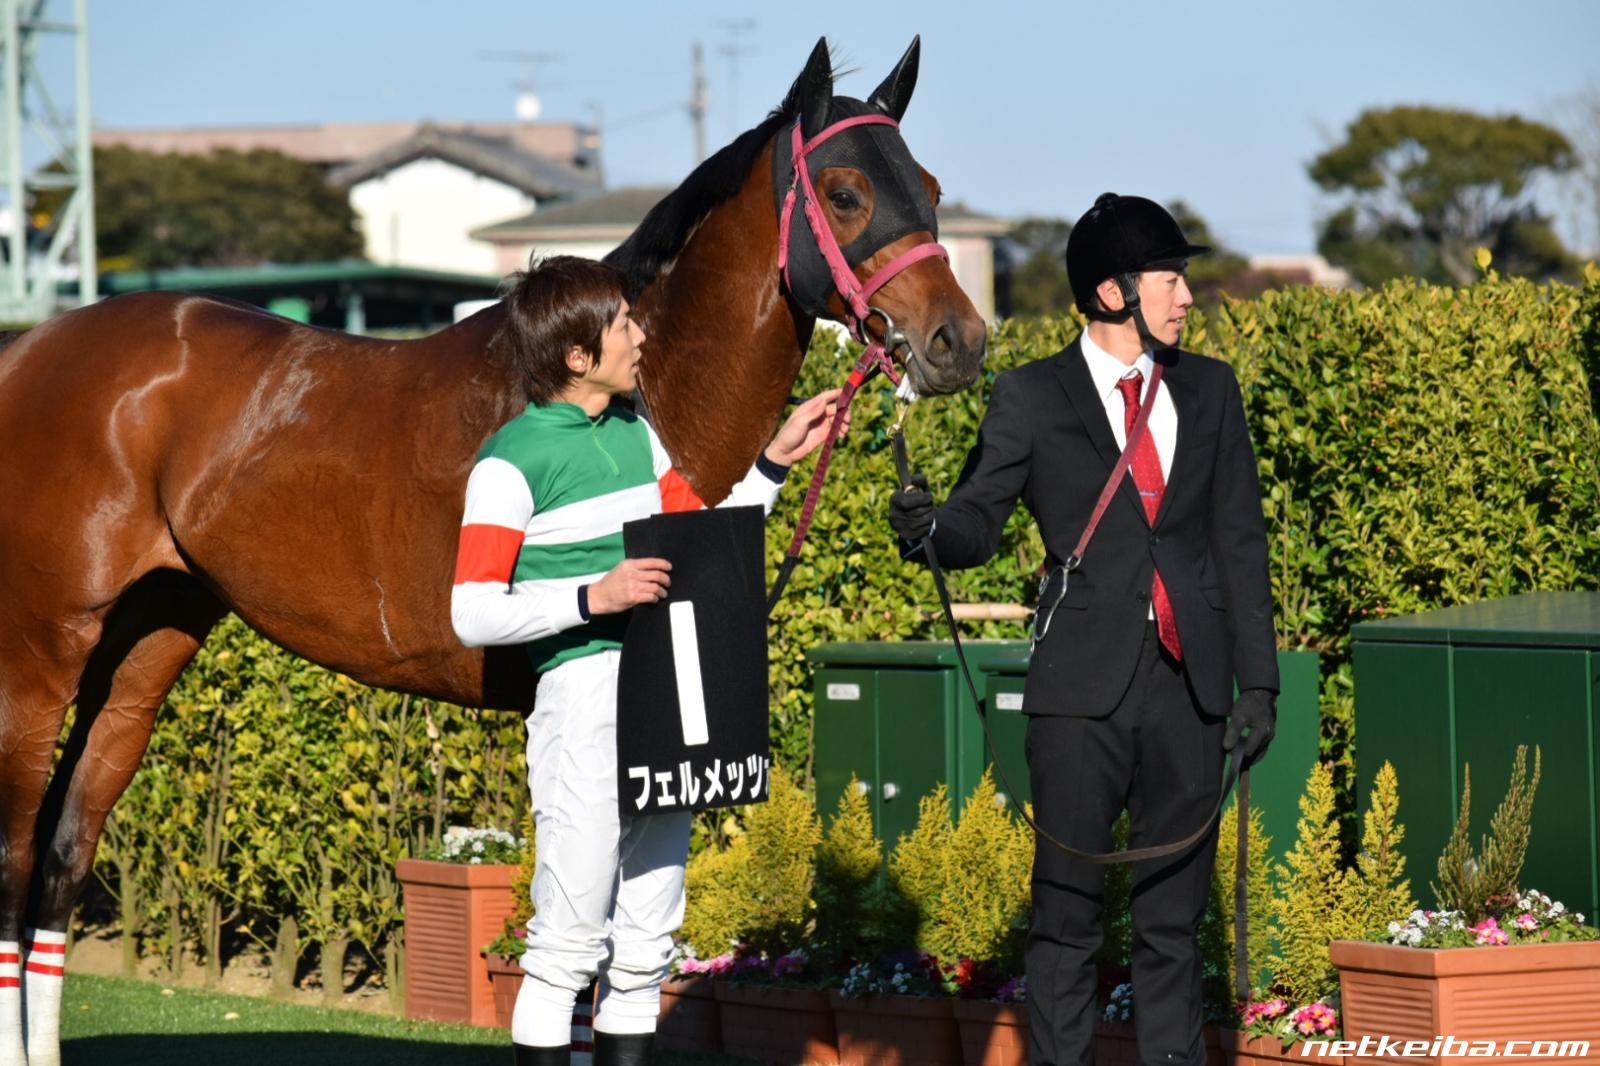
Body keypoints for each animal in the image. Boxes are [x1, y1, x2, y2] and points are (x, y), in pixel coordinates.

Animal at [0, 35, 985, 1064]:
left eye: (930, 187)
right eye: (845, 191)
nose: (959, 341)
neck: (625, 404)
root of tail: (29, 349)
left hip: (150, 638)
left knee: (66, 851)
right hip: (39, 649)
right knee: (17, 853)